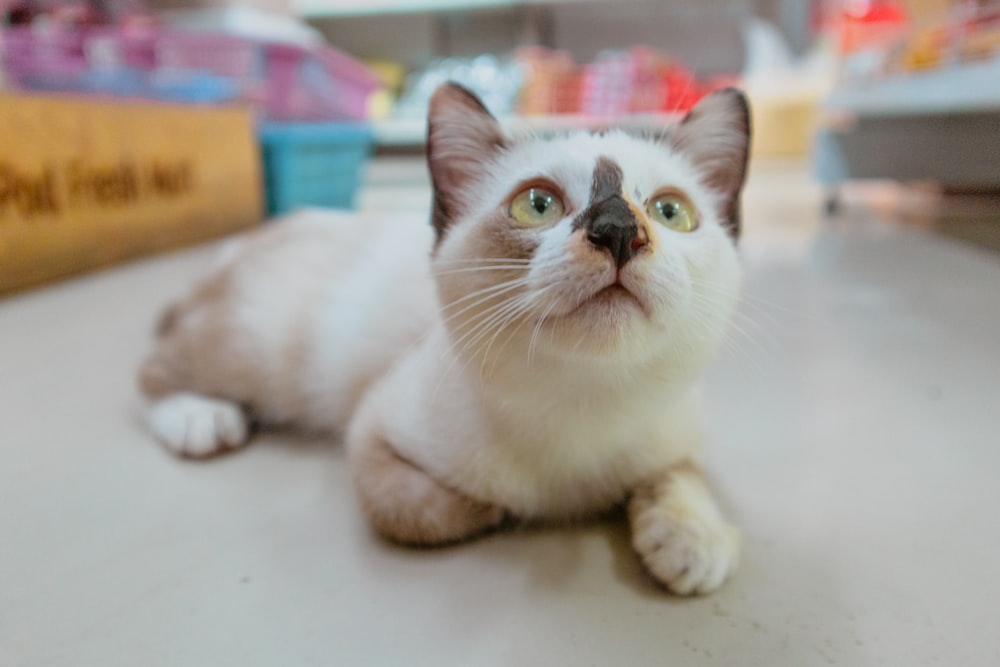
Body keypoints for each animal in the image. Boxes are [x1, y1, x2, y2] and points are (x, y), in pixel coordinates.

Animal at [139, 82, 752, 596]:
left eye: (670, 211)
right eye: (537, 204)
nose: (619, 231)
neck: (585, 407)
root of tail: (253, 238)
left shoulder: (676, 433)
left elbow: (682, 476)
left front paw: (692, 542)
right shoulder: (371, 430)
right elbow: (417, 512)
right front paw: (501, 511)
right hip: (256, 349)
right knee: (153, 368)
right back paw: (200, 420)